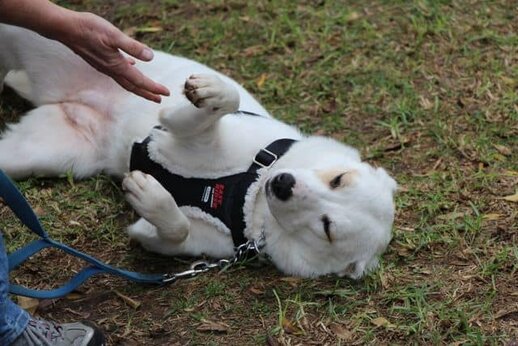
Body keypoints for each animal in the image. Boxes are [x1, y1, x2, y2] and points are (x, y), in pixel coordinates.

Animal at [0, 24, 398, 278]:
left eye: (327, 227)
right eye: (339, 179)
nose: (283, 184)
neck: (247, 195)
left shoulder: (172, 240)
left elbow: (174, 229)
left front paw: (149, 196)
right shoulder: (194, 130)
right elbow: (219, 105)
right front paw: (210, 92)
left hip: (38, 153)